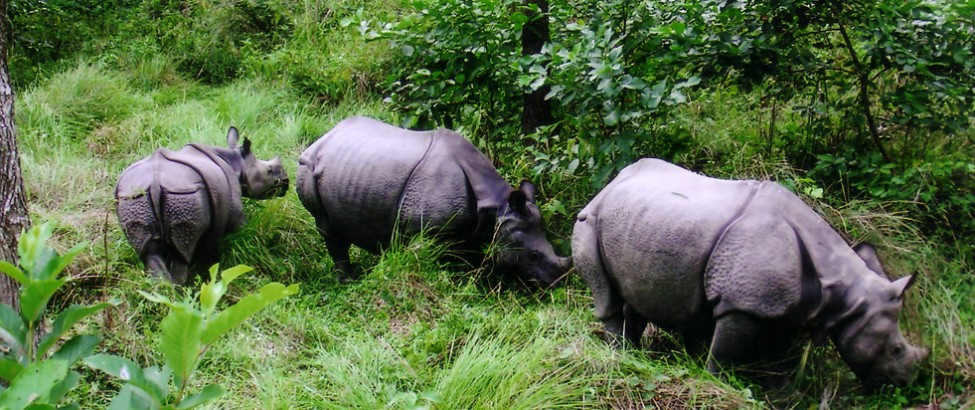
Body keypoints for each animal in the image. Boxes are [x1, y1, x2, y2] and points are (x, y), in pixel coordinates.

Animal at [115, 128, 288, 286]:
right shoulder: (235, 210)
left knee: (149, 253)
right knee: (182, 251)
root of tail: (156, 182)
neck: (237, 162)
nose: (286, 181)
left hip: (133, 199)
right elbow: (243, 232)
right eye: (269, 171)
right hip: (183, 196)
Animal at [298, 117, 572, 286]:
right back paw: (348, 280)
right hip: (307, 166)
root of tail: (324, 137)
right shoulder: (422, 229)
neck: (498, 207)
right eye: (533, 255)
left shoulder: (473, 228)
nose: (556, 283)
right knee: (326, 225)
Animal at [572, 159, 932, 386]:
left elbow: (777, 360)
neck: (845, 292)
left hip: (641, 220)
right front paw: (716, 382)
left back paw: (634, 354)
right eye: (896, 349)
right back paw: (619, 355)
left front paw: (778, 393)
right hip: (589, 220)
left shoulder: (786, 309)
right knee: (606, 294)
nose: (906, 381)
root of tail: (609, 184)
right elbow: (726, 352)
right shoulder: (741, 303)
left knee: (634, 294)